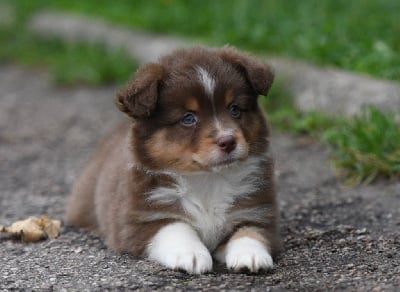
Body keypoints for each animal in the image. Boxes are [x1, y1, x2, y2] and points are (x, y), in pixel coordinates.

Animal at [65, 45, 280, 274]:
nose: (228, 141)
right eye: (188, 118)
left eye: (235, 109)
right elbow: (176, 227)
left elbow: (251, 232)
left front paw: (250, 255)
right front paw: (191, 254)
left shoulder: (257, 210)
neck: (207, 180)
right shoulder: (141, 218)